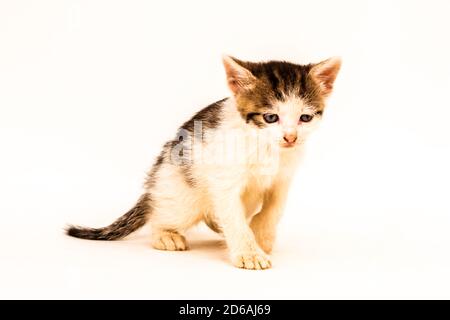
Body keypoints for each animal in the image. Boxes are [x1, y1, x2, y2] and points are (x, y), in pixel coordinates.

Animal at [67, 55, 342, 270]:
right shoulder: (224, 180)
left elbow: (274, 209)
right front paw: (249, 251)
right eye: (271, 117)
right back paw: (166, 235)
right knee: (162, 213)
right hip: (183, 194)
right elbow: (233, 215)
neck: (265, 146)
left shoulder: (283, 178)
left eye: (305, 118)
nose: (290, 137)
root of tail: (155, 184)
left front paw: (261, 236)